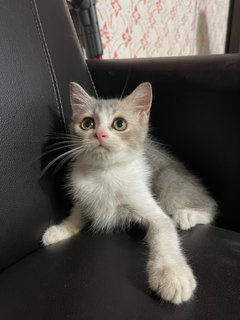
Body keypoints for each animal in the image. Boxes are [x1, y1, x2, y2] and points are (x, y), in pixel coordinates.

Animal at [42, 81, 217, 304]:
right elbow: (77, 213)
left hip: (168, 179)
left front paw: (172, 275)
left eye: (119, 124)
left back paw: (187, 215)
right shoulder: (82, 194)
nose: (99, 134)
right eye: (87, 123)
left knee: (209, 206)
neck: (105, 173)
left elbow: (164, 230)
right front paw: (59, 230)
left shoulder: (145, 200)